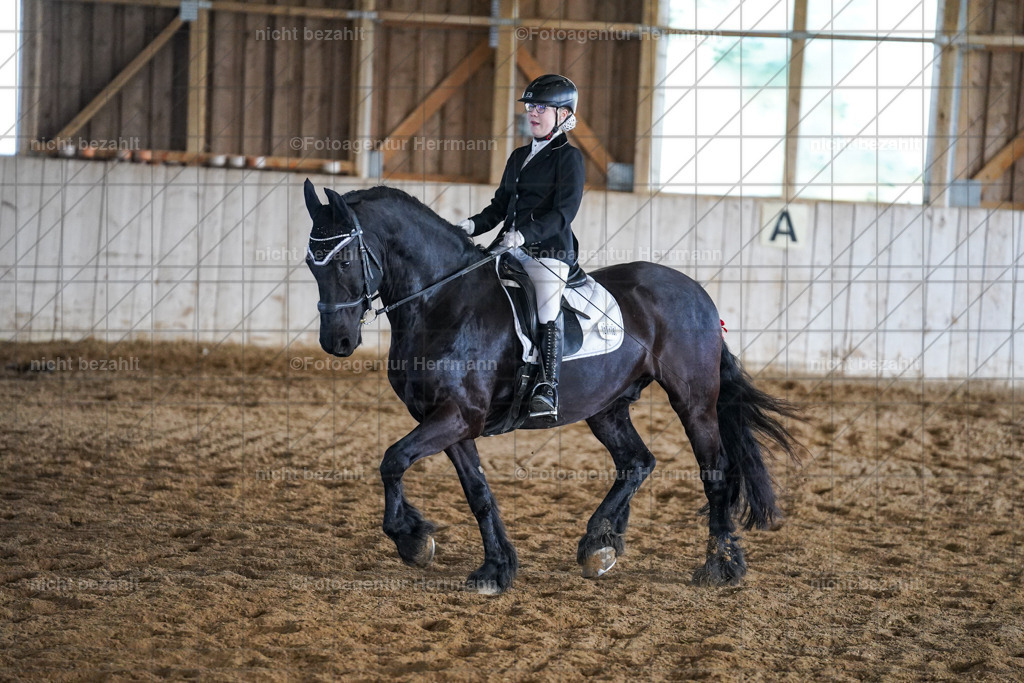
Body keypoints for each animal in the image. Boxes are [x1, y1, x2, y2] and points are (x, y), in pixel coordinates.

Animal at [302, 180, 799, 594]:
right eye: (310, 262)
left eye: (343, 259)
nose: (337, 342)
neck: (441, 302)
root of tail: (698, 292)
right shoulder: (450, 421)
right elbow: (476, 491)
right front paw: (494, 567)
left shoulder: (457, 416)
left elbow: (392, 460)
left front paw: (412, 541)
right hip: (607, 407)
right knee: (637, 462)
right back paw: (599, 544)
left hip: (693, 402)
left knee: (714, 472)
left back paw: (720, 565)